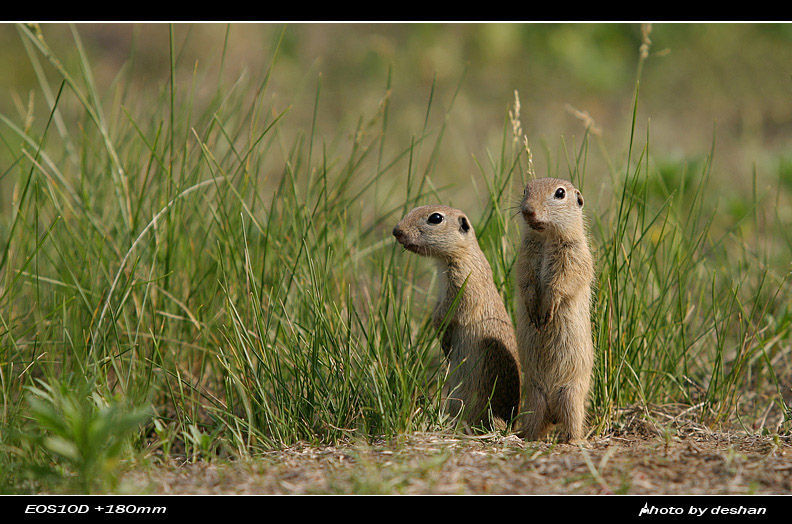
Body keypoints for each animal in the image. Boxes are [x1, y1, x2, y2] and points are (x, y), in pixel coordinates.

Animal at [392, 205, 524, 430]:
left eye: (436, 218)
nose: (396, 231)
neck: (463, 252)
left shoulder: (463, 282)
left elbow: (450, 312)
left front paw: (441, 331)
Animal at [512, 177, 592, 442]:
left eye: (560, 193)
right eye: (525, 189)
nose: (528, 210)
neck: (546, 237)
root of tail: (552, 414)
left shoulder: (575, 254)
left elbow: (562, 282)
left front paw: (548, 310)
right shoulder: (525, 256)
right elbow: (525, 281)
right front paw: (533, 312)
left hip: (571, 395)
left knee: (574, 422)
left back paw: (573, 440)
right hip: (533, 399)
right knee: (534, 424)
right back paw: (525, 437)